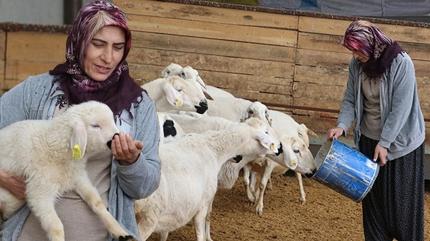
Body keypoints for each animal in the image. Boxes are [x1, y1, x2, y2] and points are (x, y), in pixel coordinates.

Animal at [0, 100, 136, 241]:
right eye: (95, 125)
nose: (116, 137)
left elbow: (97, 203)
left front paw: (120, 232)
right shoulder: (40, 191)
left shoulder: (78, 177)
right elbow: (56, 227)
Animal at [134, 117, 282, 241]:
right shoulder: (202, 204)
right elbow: (201, 230)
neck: (213, 149)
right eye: (266, 132)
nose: (279, 148)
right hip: (147, 220)